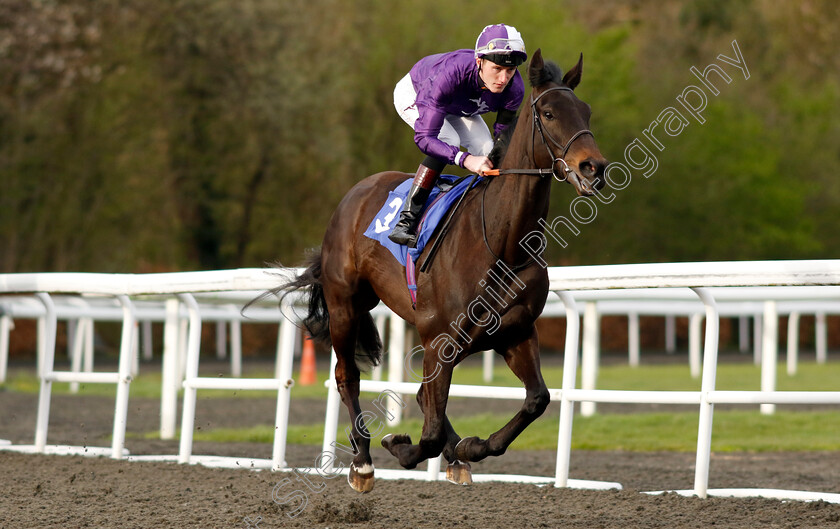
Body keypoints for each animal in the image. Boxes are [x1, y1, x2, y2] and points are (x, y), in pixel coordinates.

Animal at [278, 49, 608, 490]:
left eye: (586, 112)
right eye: (550, 113)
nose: (594, 168)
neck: (502, 243)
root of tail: (355, 194)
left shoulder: (515, 332)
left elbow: (536, 399)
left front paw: (472, 447)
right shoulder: (438, 338)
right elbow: (430, 432)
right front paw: (400, 445)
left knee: (423, 398)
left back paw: (453, 457)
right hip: (344, 305)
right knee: (347, 375)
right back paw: (362, 460)